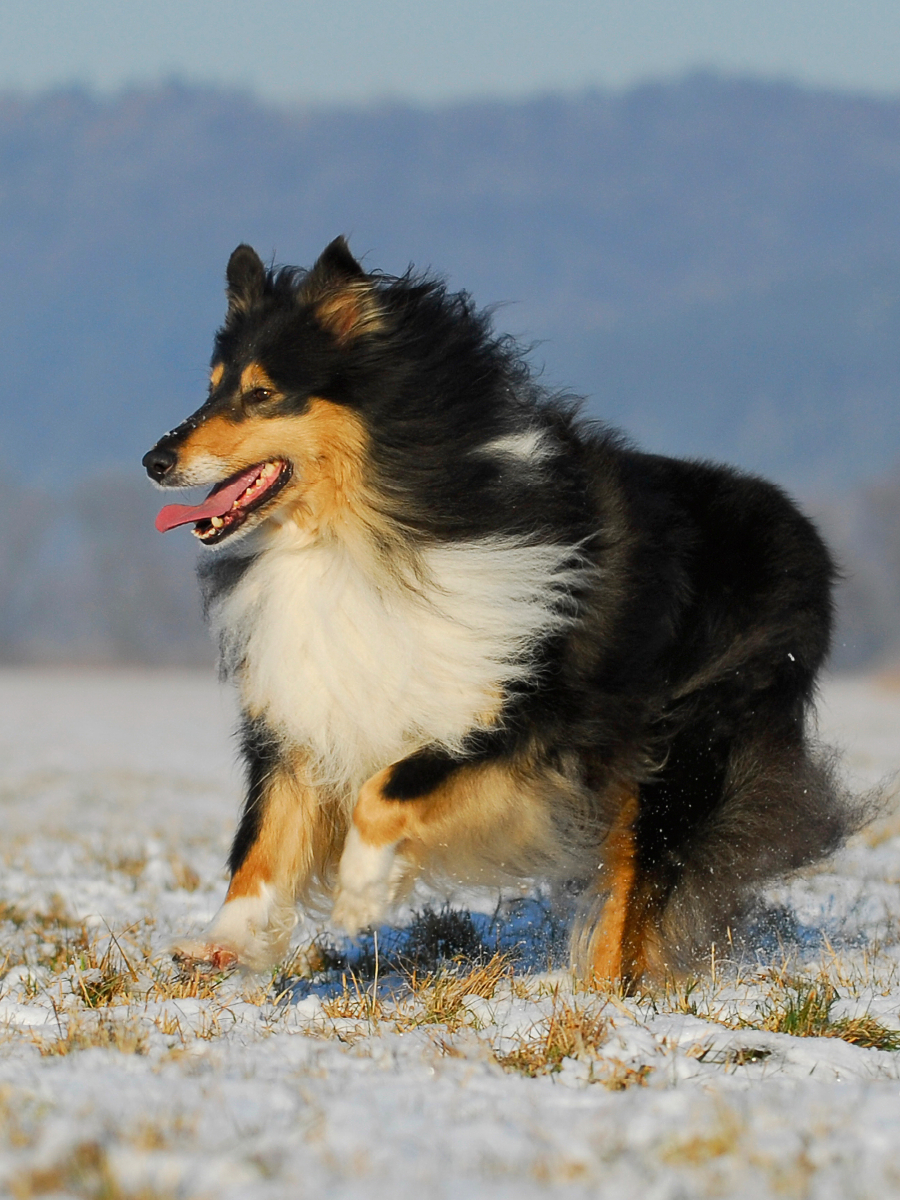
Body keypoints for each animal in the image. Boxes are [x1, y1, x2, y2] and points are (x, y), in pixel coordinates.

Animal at [144, 236, 864, 984]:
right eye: (211, 386)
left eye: (261, 394)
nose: (154, 460)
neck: (361, 536)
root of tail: (809, 538)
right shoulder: (309, 706)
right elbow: (263, 835)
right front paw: (222, 939)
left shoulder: (523, 721)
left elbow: (387, 789)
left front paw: (362, 893)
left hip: (683, 750)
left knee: (640, 882)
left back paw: (605, 993)